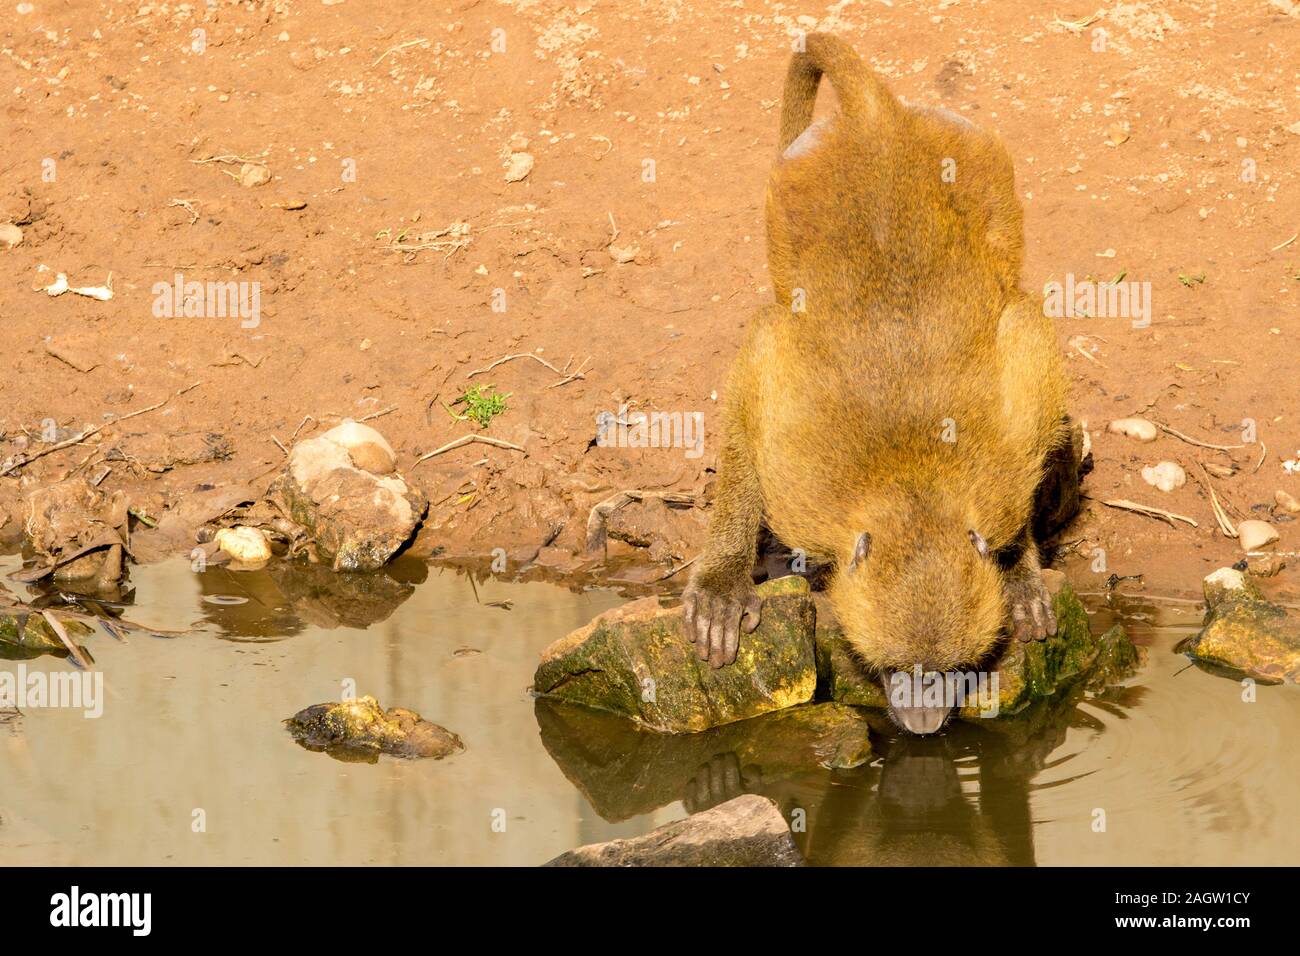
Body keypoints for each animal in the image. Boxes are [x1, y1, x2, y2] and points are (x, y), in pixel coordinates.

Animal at [682, 34, 1071, 735]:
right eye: (896, 669)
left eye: (949, 670)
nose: (923, 724)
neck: (910, 481)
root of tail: (880, 123)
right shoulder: (801, 475)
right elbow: (757, 379)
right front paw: (724, 584)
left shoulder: (1008, 454)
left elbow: (1024, 342)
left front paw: (1021, 575)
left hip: (978, 157)